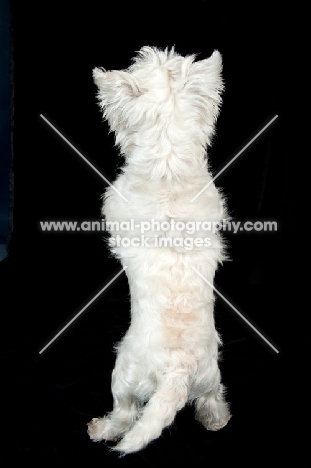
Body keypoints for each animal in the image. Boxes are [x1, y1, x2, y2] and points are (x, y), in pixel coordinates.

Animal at [88, 46, 232, 454]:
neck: (169, 166)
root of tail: (178, 369)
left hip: (123, 374)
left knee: (125, 413)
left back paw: (101, 428)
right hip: (210, 377)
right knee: (211, 401)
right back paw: (216, 420)